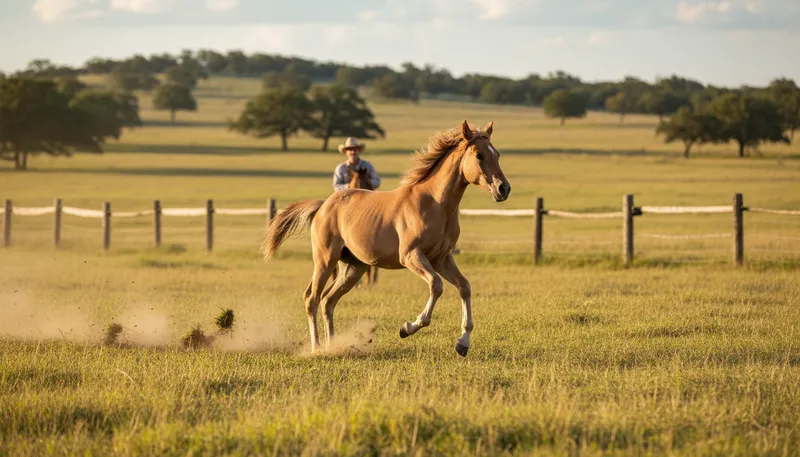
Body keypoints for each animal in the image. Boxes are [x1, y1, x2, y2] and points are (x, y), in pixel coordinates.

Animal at [261, 120, 511, 357]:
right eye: (479, 155)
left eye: (497, 154)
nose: (503, 188)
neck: (435, 204)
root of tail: (323, 206)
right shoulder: (411, 256)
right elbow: (436, 285)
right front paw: (408, 328)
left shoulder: (442, 258)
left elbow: (464, 286)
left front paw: (463, 343)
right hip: (325, 260)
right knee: (312, 298)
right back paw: (317, 348)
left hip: (353, 268)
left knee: (328, 300)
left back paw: (334, 346)